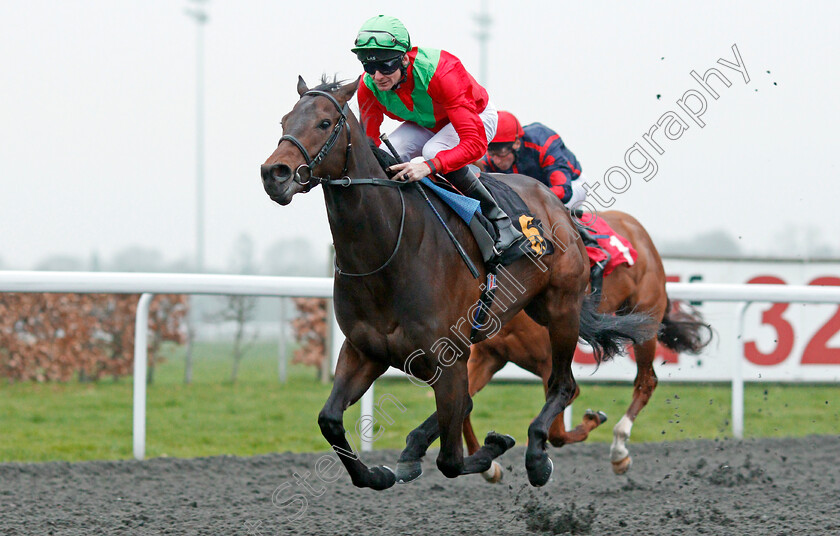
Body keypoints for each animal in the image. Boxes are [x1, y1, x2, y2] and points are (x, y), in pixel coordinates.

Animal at [260, 76, 656, 490]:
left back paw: (540, 456)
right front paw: (379, 473)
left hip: (563, 309)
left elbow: (450, 458)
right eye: (284, 120)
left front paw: (494, 450)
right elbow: (331, 421)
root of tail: (558, 207)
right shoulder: (363, 351)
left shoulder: (448, 359)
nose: (275, 173)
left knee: (565, 384)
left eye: (324, 123)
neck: (387, 252)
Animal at [462, 210, 712, 482]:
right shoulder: (488, 357)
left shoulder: (550, 362)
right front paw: (488, 466)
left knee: (646, 382)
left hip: (645, 320)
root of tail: (637, 228)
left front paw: (591, 419)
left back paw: (619, 450)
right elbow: (462, 405)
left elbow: (558, 430)